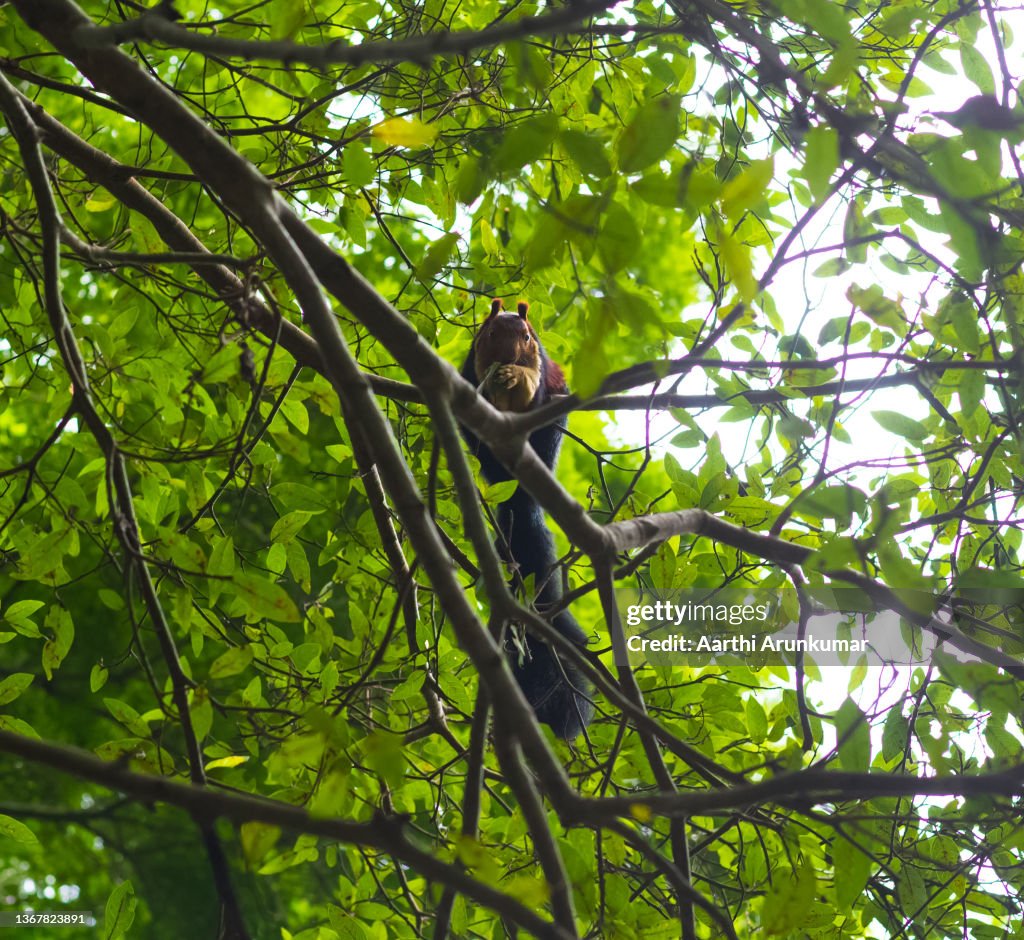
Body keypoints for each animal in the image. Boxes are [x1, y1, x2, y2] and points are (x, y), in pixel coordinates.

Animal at [460, 298, 593, 739]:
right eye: (487, 332)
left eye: (528, 335)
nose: (508, 349)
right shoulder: (470, 369)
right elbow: (476, 379)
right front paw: (495, 380)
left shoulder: (545, 377)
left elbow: (534, 389)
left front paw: (518, 378)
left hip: (550, 434)